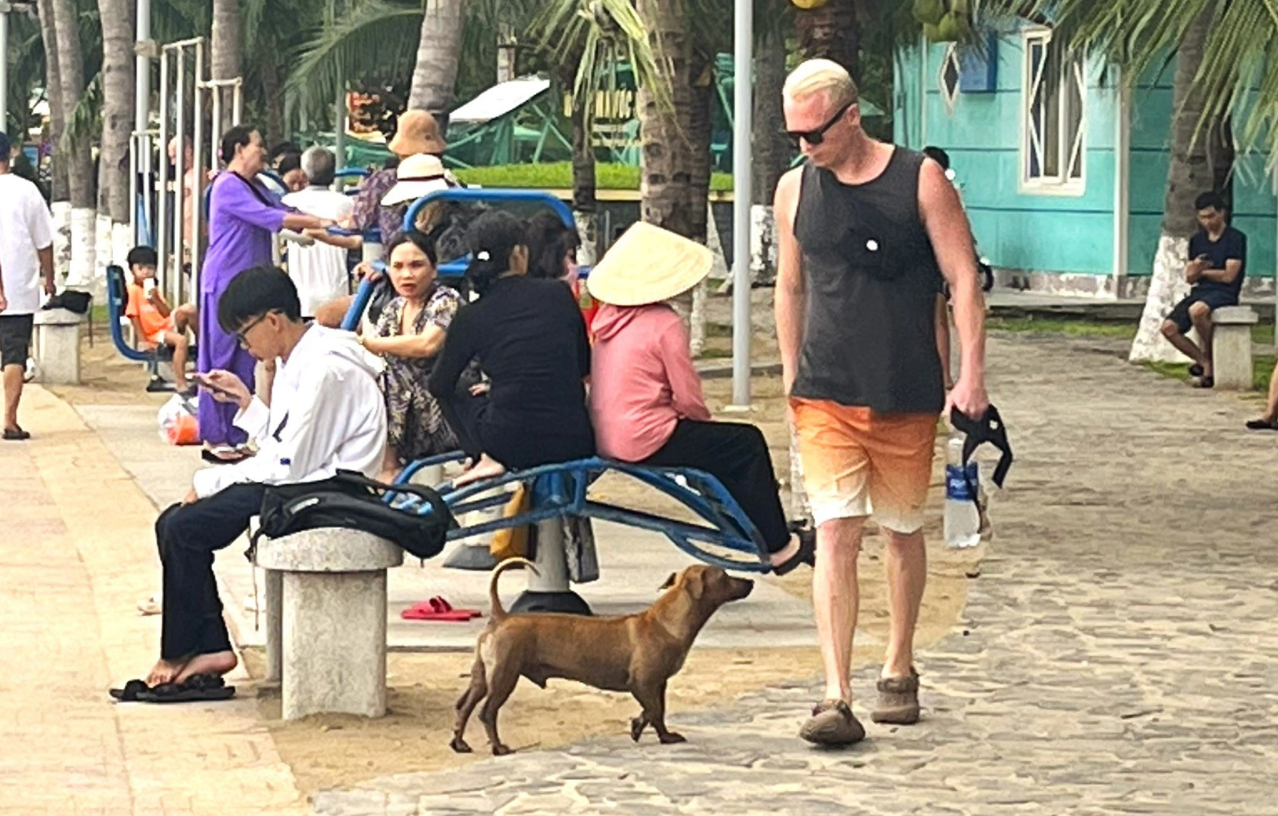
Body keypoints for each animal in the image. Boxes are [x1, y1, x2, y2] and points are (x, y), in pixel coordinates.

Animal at [449, 560, 751, 757]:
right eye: (725, 576)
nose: (750, 580)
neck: (666, 621)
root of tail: (501, 616)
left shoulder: (658, 684)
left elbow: (658, 711)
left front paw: (659, 734)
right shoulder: (642, 682)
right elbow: (653, 710)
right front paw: (643, 728)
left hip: (481, 679)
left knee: (463, 707)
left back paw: (459, 743)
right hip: (504, 677)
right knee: (486, 712)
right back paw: (498, 747)